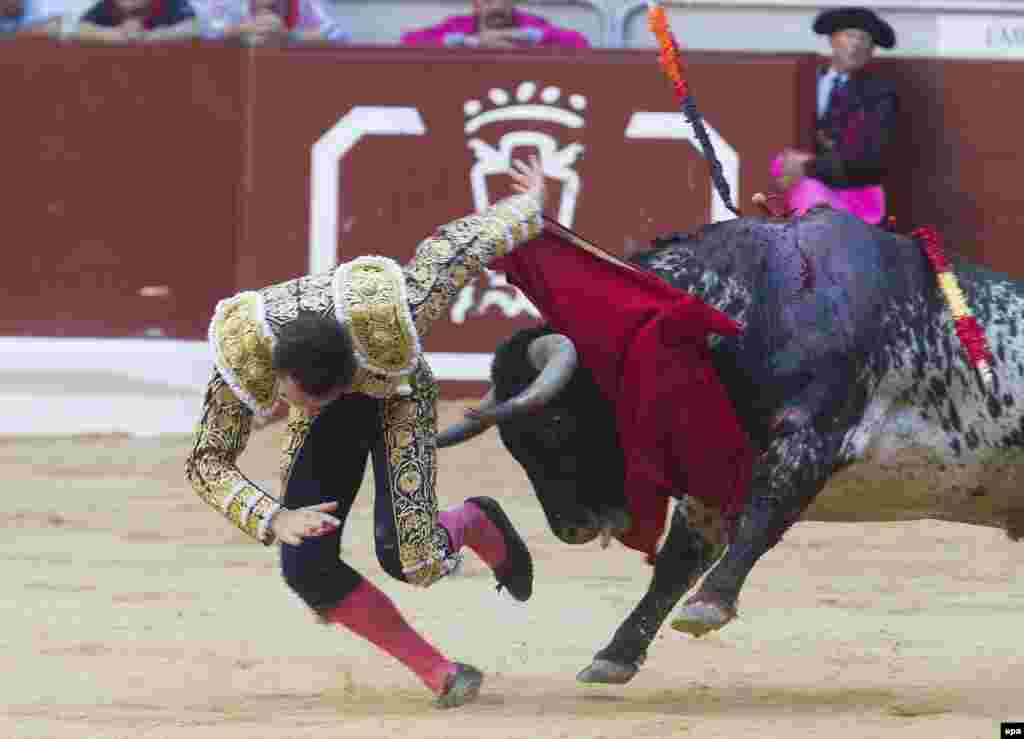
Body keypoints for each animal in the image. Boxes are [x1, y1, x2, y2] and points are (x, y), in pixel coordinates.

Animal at [436, 204, 1024, 683]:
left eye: (555, 423)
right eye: (512, 442)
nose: (570, 529)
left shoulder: (810, 439)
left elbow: (761, 519)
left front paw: (709, 606)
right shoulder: (715, 473)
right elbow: (676, 562)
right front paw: (615, 655)